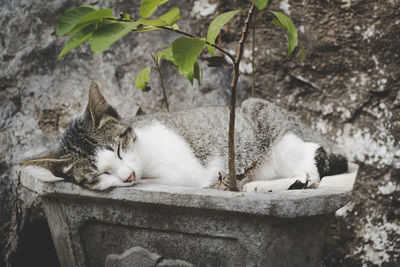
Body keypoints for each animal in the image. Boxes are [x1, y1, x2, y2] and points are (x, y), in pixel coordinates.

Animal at [21, 82, 346, 193]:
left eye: (119, 150)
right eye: (98, 172)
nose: (128, 176)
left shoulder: (186, 173)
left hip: (267, 120)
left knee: (314, 166)